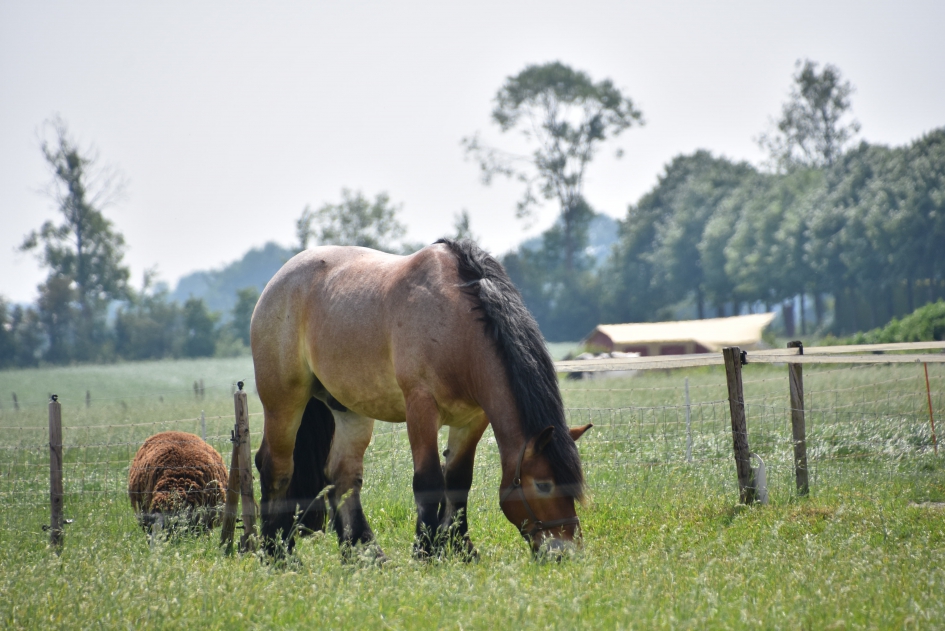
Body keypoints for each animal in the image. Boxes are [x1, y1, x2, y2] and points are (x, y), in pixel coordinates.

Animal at [252, 238, 591, 560]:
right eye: (544, 484)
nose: (564, 552)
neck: (456, 325)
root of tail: (278, 281)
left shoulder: (472, 419)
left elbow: (458, 480)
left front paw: (460, 547)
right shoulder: (421, 409)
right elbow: (428, 481)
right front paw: (426, 551)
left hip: (348, 409)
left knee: (342, 477)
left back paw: (365, 555)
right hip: (284, 401)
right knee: (275, 468)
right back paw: (278, 554)